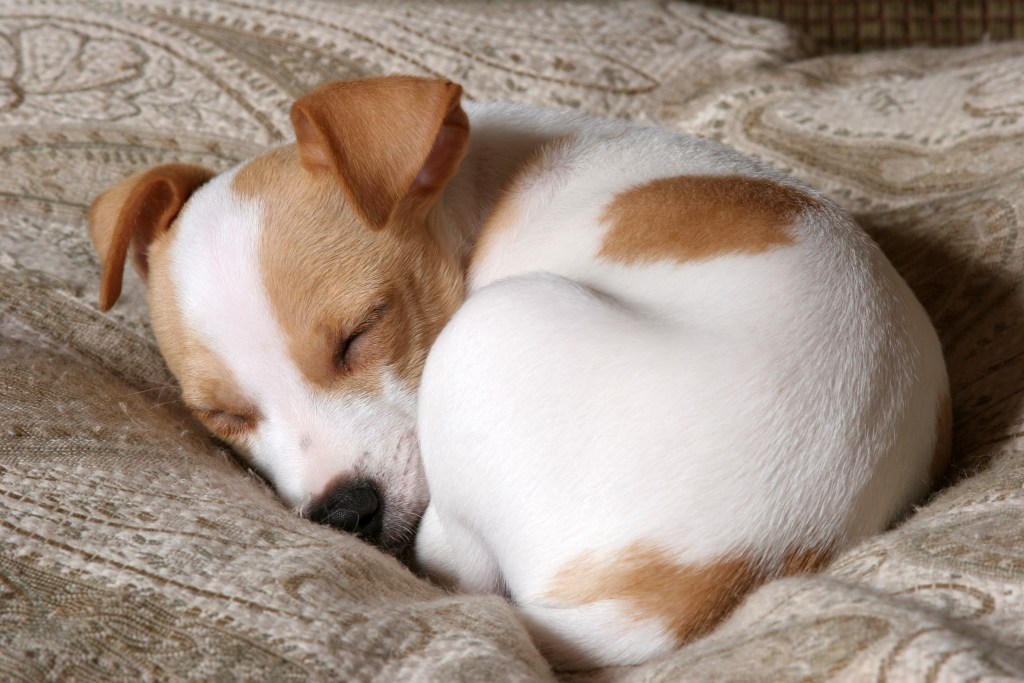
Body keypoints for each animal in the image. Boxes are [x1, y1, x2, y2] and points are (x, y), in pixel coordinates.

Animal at [88, 77, 950, 671]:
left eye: (361, 335)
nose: (344, 511)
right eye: (224, 417)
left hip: (484, 337)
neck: (466, 184)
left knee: (461, 558)